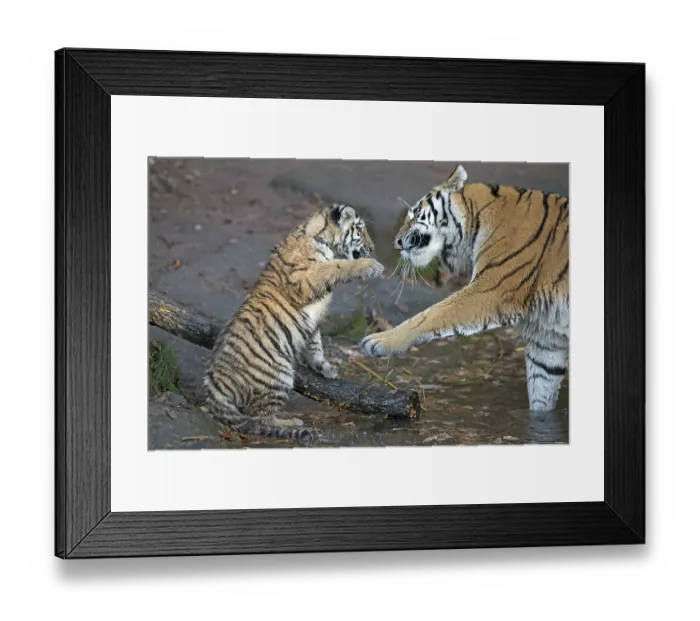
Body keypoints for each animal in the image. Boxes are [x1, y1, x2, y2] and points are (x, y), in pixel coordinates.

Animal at [203, 203, 383, 442]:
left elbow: (315, 344)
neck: (319, 236)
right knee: (261, 418)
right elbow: (336, 266)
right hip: (277, 376)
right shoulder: (304, 279)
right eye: (360, 230)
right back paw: (293, 422)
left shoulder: (312, 322)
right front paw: (370, 265)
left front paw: (325, 368)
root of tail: (215, 383)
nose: (372, 249)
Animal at [361, 164, 569, 412]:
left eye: (414, 213)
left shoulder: (491, 289)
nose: (397, 243)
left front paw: (379, 341)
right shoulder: (547, 340)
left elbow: (432, 314)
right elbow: (542, 391)